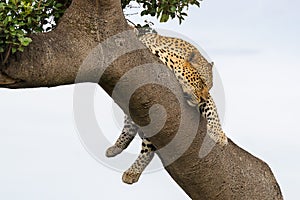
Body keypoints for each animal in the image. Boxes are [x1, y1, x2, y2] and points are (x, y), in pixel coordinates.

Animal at [105, 32, 227, 184]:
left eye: (209, 87)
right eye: (202, 82)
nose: (202, 99)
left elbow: (212, 109)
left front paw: (219, 134)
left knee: (147, 147)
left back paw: (133, 170)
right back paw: (120, 151)